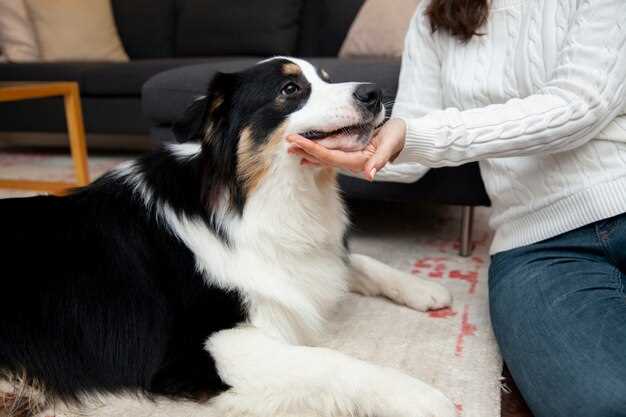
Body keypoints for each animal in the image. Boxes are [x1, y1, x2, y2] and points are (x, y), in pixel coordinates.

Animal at [2, 57, 456, 414]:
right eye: (291, 88)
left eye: (327, 77)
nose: (374, 93)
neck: (256, 199)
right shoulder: (202, 348)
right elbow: (332, 360)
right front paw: (420, 396)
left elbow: (356, 260)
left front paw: (423, 287)